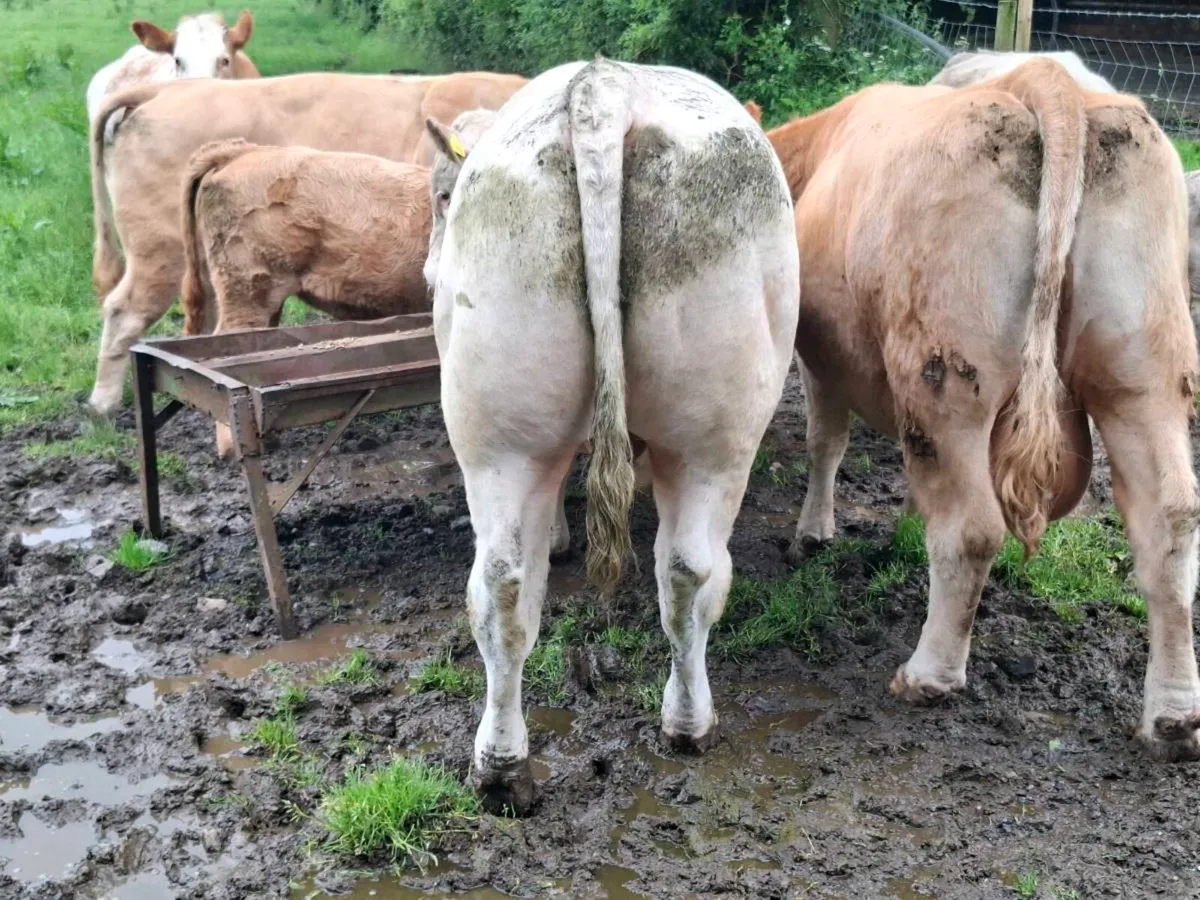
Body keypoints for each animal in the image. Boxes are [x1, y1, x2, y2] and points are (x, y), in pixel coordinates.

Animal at [423, 58, 799, 814]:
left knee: (503, 588)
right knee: (690, 574)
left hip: (500, 434)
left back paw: (501, 766)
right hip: (716, 438)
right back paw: (689, 724)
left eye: (439, 201)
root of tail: (605, 87)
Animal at [766, 58, 1200, 761]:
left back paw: (929, 675)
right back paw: (1174, 716)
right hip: (1144, 375)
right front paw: (904, 522)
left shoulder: (819, 356)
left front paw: (813, 534)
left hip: (946, 379)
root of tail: (1048, 81)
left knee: (972, 527)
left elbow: (825, 444)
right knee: (1170, 520)